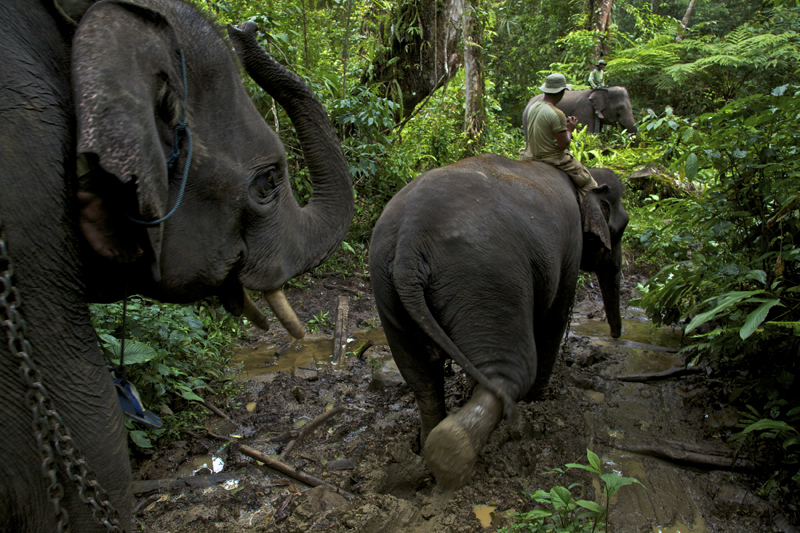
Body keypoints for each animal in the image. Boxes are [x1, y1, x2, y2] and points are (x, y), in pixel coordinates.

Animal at [370, 154, 632, 486]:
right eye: (621, 228)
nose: (616, 336)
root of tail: (409, 240)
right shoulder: (569, 248)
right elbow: (555, 317)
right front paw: (540, 402)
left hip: (388, 289)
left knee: (422, 377)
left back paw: (427, 450)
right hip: (486, 281)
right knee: (510, 373)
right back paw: (455, 450)